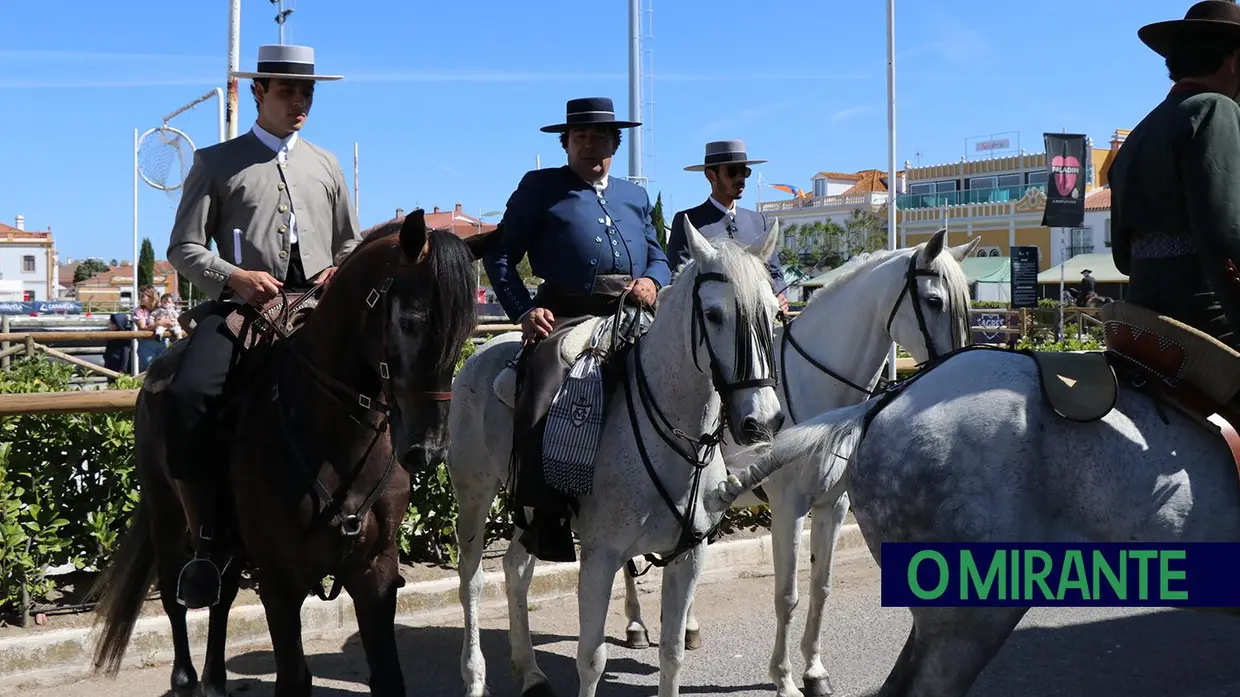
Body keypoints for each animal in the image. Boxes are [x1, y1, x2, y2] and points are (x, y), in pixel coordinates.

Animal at [83, 212, 498, 694]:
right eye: (410, 322)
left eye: (467, 329)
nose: (426, 448)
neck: (334, 438)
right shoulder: (280, 581)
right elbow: (294, 677)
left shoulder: (374, 570)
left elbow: (388, 676)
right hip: (166, 514)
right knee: (175, 595)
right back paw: (186, 677)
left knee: (222, 596)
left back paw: (215, 679)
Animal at [451, 218, 783, 694]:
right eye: (714, 315)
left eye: (773, 314)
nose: (762, 420)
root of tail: (483, 351)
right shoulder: (600, 557)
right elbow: (591, 660)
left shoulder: (689, 557)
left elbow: (672, 653)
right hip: (474, 495)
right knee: (472, 580)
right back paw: (475, 675)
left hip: (530, 512)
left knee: (515, 570)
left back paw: (529, 669)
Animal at [714, 322, 1240, 694]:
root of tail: (888, 403)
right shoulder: (789, 506)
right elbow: (788, 595)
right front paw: (786, 679)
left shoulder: (829, 505)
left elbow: (819, 588)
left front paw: (812, 674)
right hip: (972, 615)